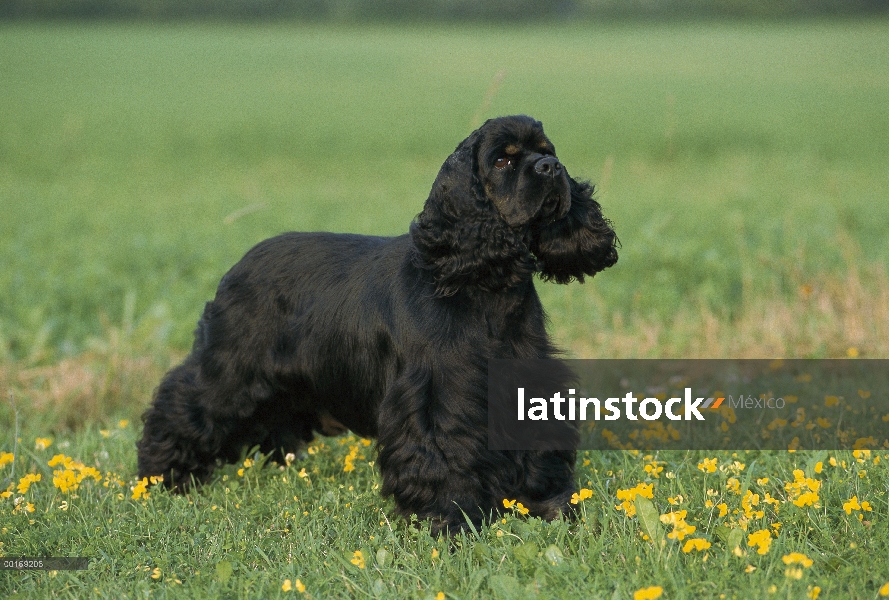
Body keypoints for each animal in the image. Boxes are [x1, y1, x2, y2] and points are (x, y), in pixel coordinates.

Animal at [140, 115, 616, 532]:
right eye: (503, 160)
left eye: (547, 151)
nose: (551, 168)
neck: (486, 283)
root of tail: (235, 268)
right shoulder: (436, 393)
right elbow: (444, 454)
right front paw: (450, 520)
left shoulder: (527, 378)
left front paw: (549, 506)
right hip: (231, 367)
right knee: (181, 403)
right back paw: (160, 477)